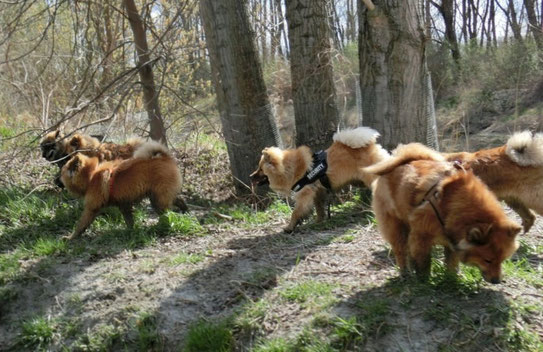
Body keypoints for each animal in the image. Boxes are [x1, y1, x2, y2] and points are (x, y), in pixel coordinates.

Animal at [251, 128, 392, 232]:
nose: (250, 176)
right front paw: (319, 221)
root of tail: (369, 145)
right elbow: (319, 209)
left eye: (260, 169)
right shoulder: (318, 192)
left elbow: (295, 212)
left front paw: (289, 227)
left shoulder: (304, 194)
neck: (288, 168)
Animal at [366, 143, 524, 284]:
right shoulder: (422, 235)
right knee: (400, 251)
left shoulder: (452, 238)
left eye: (502, 260)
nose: (497, 281)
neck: (453, 203)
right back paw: (405, 273)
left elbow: (451, 262)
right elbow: (424, 262)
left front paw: (451, 278)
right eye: (488, 260)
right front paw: (424, 281)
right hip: (396, 226)